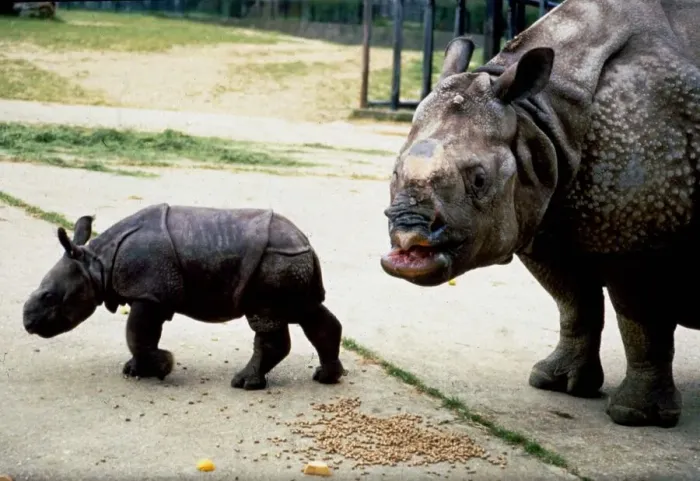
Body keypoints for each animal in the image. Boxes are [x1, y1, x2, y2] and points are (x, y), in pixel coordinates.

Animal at [22, 203, 345, 390]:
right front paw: (135, 371)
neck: (97, 263)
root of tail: (304, 242)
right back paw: (326, 377)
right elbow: (144, 334)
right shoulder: (153, 294)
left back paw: (242, 383)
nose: (27, 322)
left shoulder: (150, 293)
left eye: (49, 296)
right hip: (289, 260)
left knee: (267, 316)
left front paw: (162, 368)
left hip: (274, 260)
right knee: (307, 311)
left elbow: (136, 334)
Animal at [380, 0, 700, 427]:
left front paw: (637, 417)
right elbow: (573, 302)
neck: (540, 116)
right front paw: (555, 384)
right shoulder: (544, 216)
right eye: (393, 173)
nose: (408, 238)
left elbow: (641, 318)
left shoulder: (639, 234)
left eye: (479, 180)